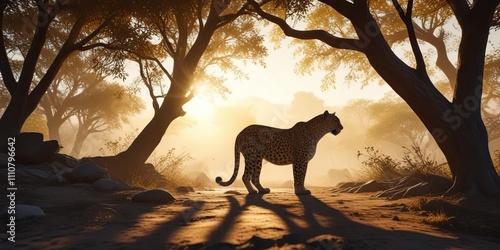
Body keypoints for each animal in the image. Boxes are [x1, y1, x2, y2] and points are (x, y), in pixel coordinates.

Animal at [216, 111, 344, 195]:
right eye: (335, 120)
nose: (342, 128)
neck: (317, 133)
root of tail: (240, 132)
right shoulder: (298, 160)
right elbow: (298, 176)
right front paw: (299, 191)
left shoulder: (304, 161)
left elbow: (303, 176)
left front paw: (303, 189)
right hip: (253, 157)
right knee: (246, 176)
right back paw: (252, 191)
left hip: (256, 158)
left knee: (254, 177)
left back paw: (263, 190)